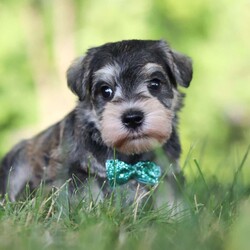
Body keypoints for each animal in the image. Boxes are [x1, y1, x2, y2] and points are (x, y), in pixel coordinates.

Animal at [0, 39, 193, 207]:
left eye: (155, 83)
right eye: (105, 90)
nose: (132, 118)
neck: (130, 157)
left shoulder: (168, 174)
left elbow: (170, 199)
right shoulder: (74, 173)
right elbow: (88, 195)